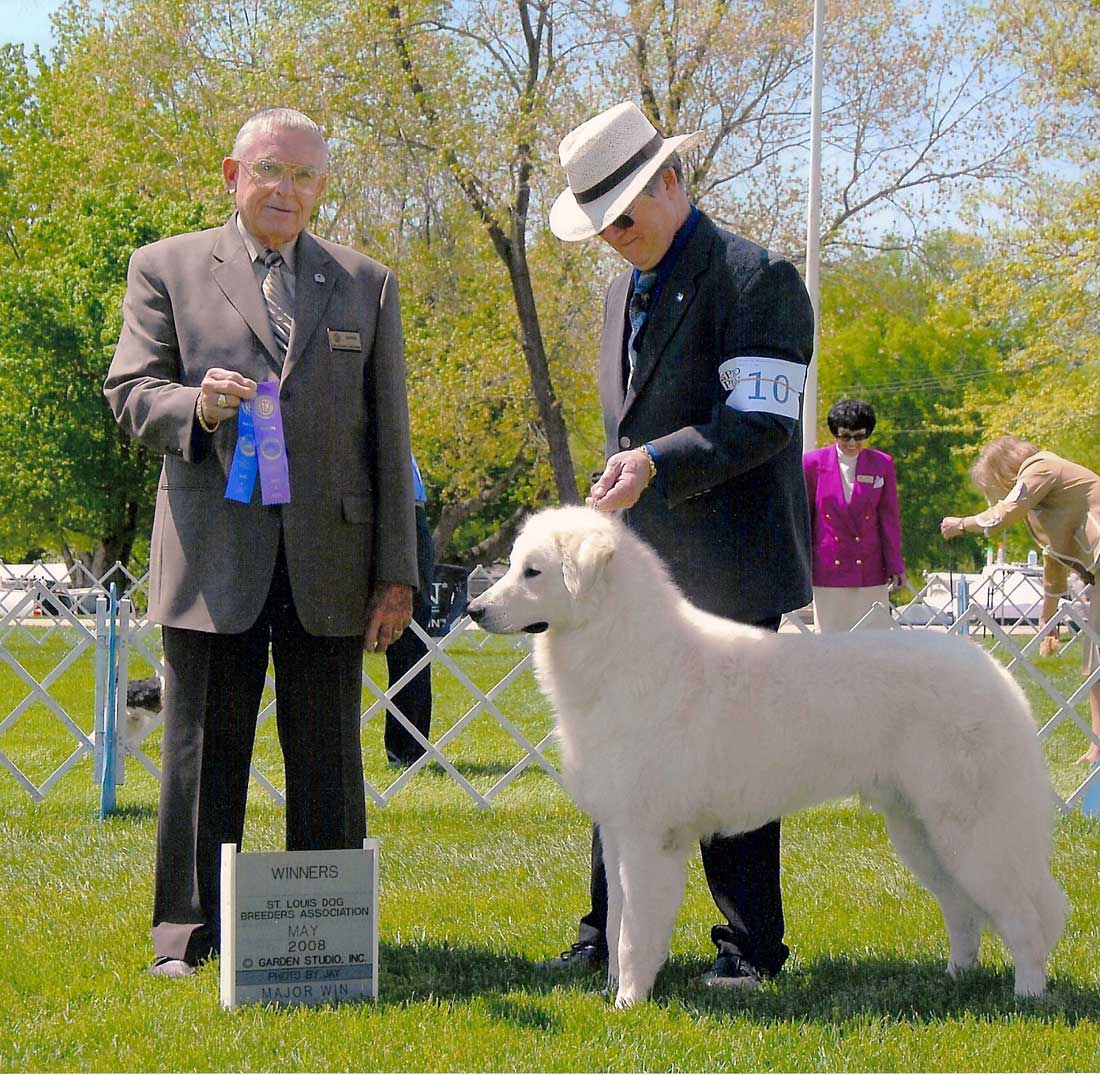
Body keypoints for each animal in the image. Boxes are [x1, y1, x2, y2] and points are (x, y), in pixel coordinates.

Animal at [468, 506, 1069, 1007]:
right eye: (514, 566)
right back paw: (956, 978)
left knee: (1023, 915)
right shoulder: (618, 832)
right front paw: (613, 990)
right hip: (920, 831)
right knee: (964, 911)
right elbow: (615, 925)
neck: (624, 649)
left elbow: (636, 931)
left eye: (533, 573)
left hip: (972, 831)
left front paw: (628, 1005)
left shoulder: (648, 837)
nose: (473, 610)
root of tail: (996, 677)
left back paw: (1028, 996)